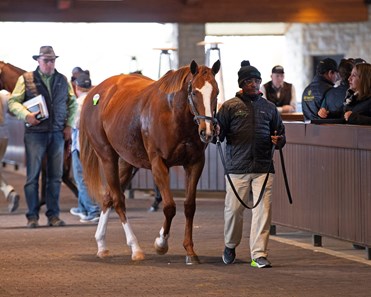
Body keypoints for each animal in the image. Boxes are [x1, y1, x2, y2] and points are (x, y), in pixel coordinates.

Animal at [80, 60, 219, 264]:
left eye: (216, 92)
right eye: (194, 92)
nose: (207, 131)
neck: (173, 114)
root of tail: (95, 93)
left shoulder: (195, 163)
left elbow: (189, 206)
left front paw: (190, 252)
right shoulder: (158, 164)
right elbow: (169, 207)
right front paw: (161, 243)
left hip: (127, 163)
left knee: (108, 197)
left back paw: (102, 245)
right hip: (107, 157)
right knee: (118, 200)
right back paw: (135, 248)